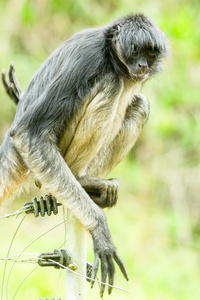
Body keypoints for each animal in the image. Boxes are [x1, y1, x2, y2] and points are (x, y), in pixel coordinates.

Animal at [0, 13, 168, 296]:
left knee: (140, 103)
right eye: (135, 50)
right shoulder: (88, 57)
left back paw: (89, 181)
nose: (143, 65)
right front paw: (98, 226)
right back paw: (79, 181)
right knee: (113, 84)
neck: (110, 54)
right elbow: (28, 133)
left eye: (150, 53)